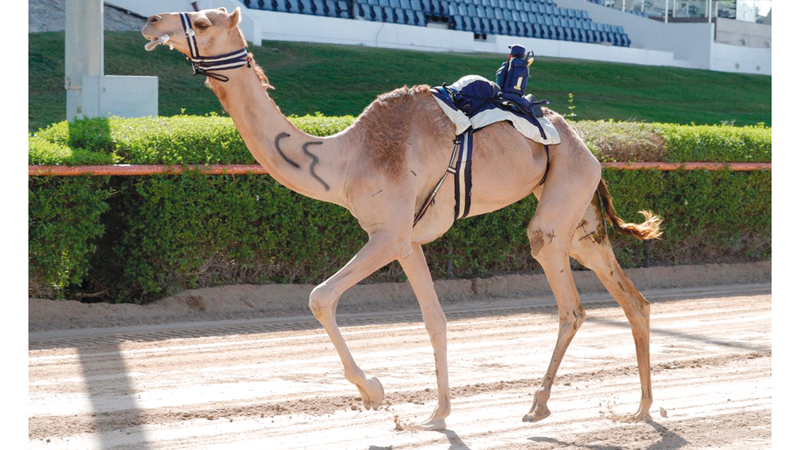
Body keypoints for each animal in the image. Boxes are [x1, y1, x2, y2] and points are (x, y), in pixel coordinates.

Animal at [144, 6, 664, 428]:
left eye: (203, 22)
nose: (151, 21)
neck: (344, 158)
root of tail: (584, 144)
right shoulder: (408, 241)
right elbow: (435, 320)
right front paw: (437, 414)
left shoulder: (387, 235)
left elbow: (319, 297)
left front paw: (373, 391)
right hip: (580, 218)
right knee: (633, 299)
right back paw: (640, 408)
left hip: (561, 199)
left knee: (569, 300)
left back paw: (539, 405)